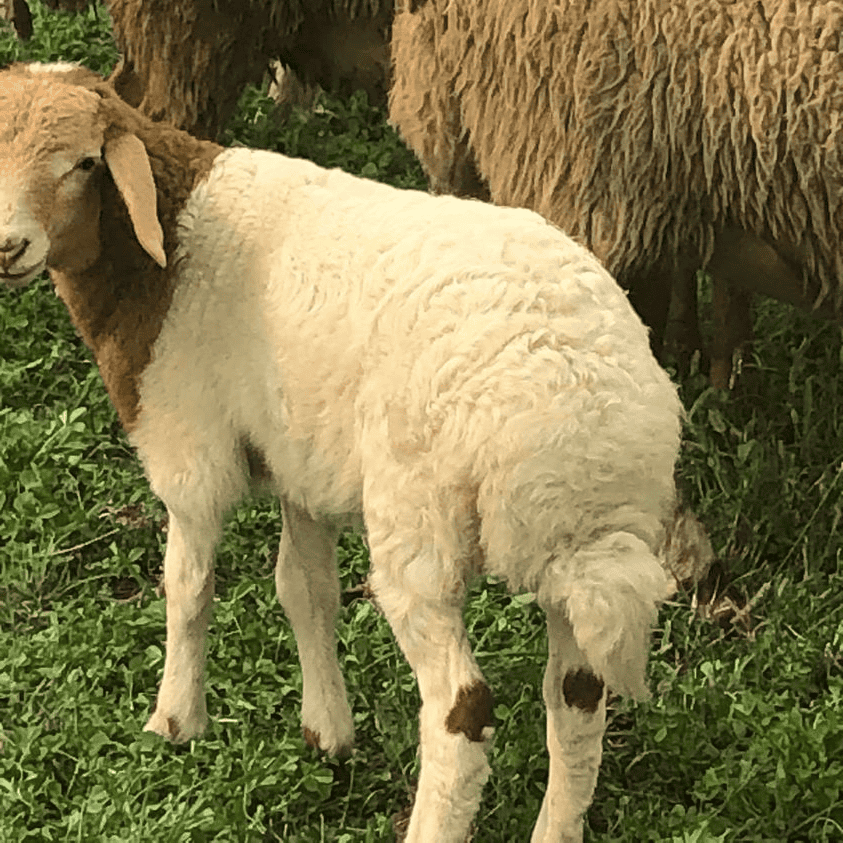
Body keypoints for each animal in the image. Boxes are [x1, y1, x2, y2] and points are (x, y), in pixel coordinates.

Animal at [0, 61, 712, 841]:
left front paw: (176, 720)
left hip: (419, 525)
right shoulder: (300, 457)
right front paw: (327, 732)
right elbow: (304, 589)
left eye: (85, 163)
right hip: (589, 547)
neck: (167, 249)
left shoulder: (190, 447)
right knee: (578, 698)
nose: (8, 247)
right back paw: (555, 826)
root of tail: (588, 422)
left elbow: (187, 588)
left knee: (461, 709)